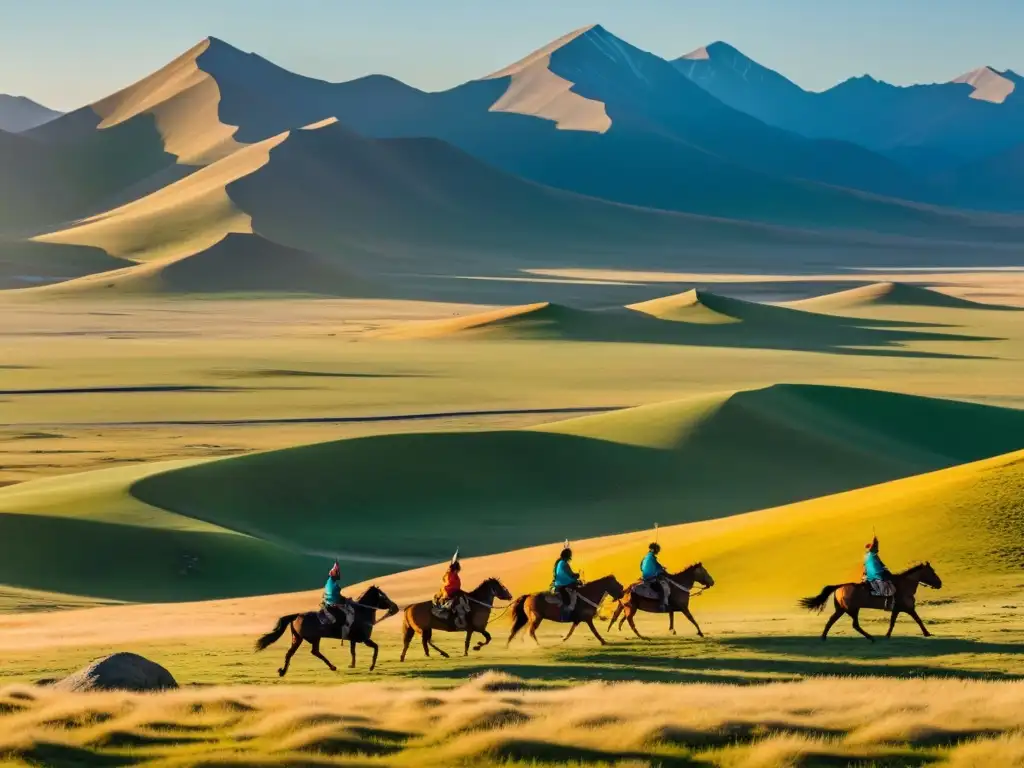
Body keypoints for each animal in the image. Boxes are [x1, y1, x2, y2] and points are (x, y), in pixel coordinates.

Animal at [256, 585, 399, 675]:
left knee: (293, 653)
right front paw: (371, 666)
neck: (362, 611)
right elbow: (376, 648)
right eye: (384, 597)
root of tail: (297, 615)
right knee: (313, 652)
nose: (396, 607)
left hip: (298, 638)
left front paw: (352, 665)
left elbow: (353, 652)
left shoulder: (353, 639)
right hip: (311, 638)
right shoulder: (364, 639)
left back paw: (283, 672)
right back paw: (332, 667)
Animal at [798, 561, 942, 638]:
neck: (905, 585)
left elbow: (893, 623)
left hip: (842, 609)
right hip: (853, 609)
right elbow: (918, 620)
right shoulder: (908, 608)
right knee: (855, 625)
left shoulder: (897, 609)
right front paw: (927, 633)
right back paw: (871, 638)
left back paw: (823, 637)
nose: (940, 584)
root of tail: (839, 587)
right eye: (932, 572)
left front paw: (887, 635)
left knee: (830, 621)